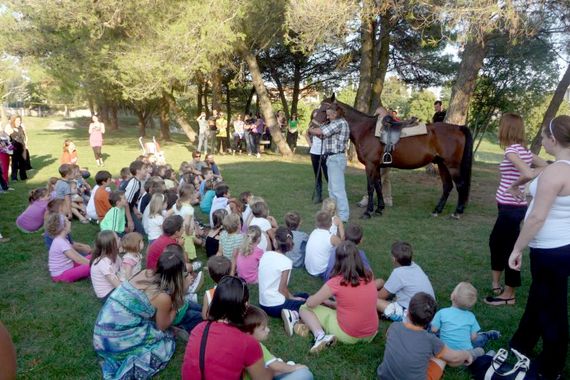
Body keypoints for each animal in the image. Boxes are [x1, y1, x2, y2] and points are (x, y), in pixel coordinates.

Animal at [310, 95, 470, 218]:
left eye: (325, 110)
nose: (312, 128)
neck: (366, 130)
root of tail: (458, 128)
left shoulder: (370, 165)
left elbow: (370, 187)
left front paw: (368, 212)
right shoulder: (377, 166)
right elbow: (378, 186)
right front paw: (379, 209)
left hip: (452, 166)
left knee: (460, 186)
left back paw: (457, 212)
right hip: (442, 165)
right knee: (447, 186)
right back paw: (437, 210)